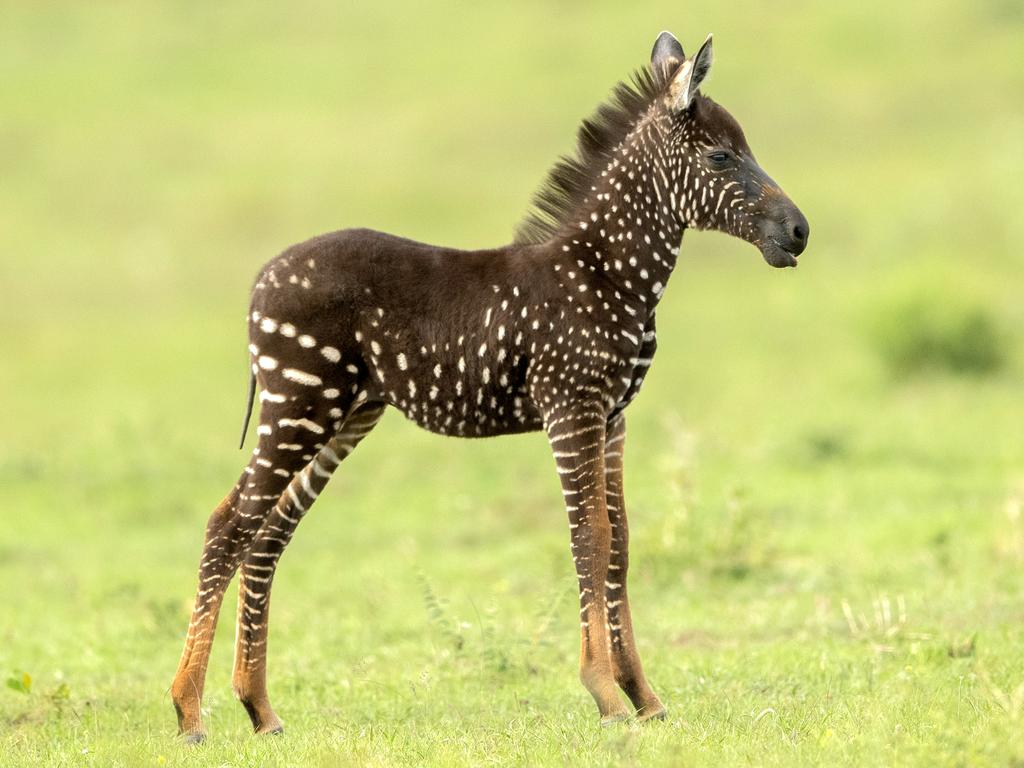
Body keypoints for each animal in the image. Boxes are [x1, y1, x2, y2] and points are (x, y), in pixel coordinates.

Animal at [172, 31, 811, 745]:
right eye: (723, 156)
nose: (799, 233)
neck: (607, 274)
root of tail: (261, 278)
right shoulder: (571, 408)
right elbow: (589, 538)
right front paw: (606, 695)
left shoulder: (613, 416)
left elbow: (619, 542)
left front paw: (644, 697)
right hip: (300, 405)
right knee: (228, 523)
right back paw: (190, 713)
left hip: (347, 413)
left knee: (269, 534)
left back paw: (259, 709)